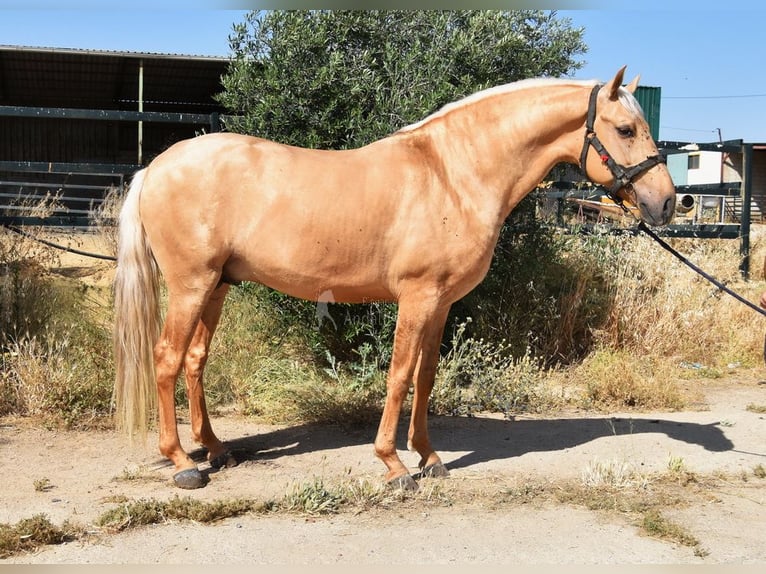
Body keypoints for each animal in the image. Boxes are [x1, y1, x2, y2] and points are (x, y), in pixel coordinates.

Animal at [114, 66, 680, 490]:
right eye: (625, 130)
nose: (668, 203)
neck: (453, 175)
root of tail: (156, 167)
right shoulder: (417, 296)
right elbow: (399, 375)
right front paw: (393, 464)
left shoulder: (442, 303)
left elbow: (426, 377)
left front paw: (428, 457)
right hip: (191, 284)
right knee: (166, 359)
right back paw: (182, 464)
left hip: (217, 286)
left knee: (194, 360)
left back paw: (214, 449)